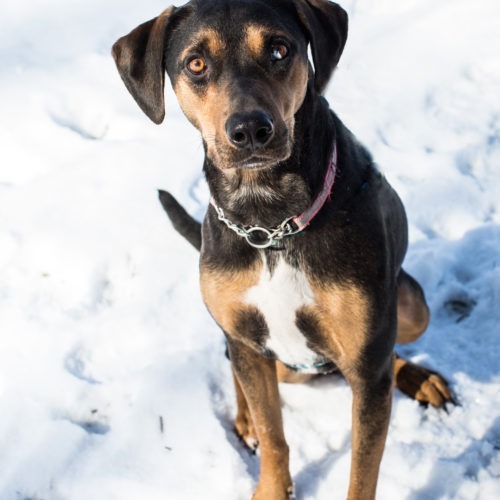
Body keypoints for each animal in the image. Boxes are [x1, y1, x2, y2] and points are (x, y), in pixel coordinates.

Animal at [112, 1, 454, 498]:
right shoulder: (246, 335)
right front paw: (270, 482)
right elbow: (274, 435)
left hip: (409, 305)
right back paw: (243, 418)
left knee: (390, 349)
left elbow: (362, 471)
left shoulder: (368, 365)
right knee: (239, 367)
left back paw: (417, 376)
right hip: (258, 346)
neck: (271, 223)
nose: (250, 130)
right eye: (195, 64)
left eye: (279, 49)